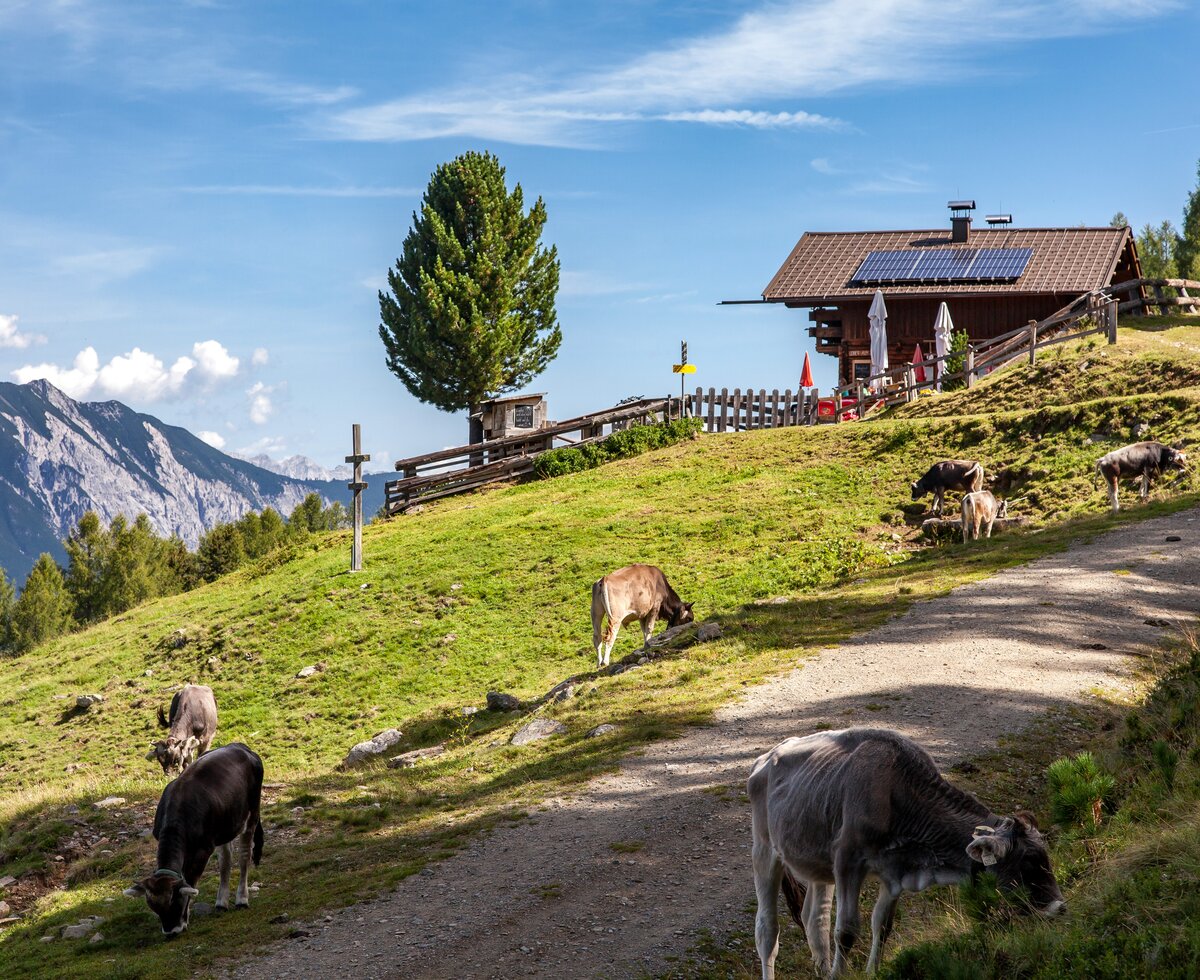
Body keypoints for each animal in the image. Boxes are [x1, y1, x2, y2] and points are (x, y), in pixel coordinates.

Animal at [121, 743, 262, 930]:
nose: (171, 931)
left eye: (175, 901)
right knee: (226, 859)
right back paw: (221, 903)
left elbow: (190, 880)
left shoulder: (203, 849)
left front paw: (185, 918)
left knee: (245, 855)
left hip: (252, 814)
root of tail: (241, 747)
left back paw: (242, 899)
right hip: (225, 827)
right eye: (153, 907)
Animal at [744, 729, 1065, 974]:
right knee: (767, 931)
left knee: (815, 921)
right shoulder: (848, 860)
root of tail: (766, 756)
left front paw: (872, 973)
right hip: (765, 850)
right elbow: (846, 931)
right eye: (1028, 861)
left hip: (818, 863)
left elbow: (882, 926)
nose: (1060, 906)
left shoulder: (894, 872)